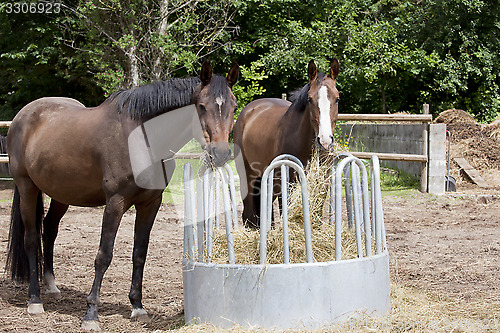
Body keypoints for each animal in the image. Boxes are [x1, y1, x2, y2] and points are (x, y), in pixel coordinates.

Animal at [4, 61, 238, 328]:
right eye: (201, 106)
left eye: (234, 106)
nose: (220, 153)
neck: (142, 138)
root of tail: (22, 116)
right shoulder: (115, 202)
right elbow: (104, 255)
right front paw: (91, 313)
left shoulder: (150, 203)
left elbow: (139, 253)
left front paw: (137, 306)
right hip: (27, 187)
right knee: (31, 239)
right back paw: (35, 300)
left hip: (61, 194)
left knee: (49, 229)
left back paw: (51, 286)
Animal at [234, 58, 340, 227]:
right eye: (310, 99)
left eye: (337, 98)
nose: (324, 141)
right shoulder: (286, 183)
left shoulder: (321, 182)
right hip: (248, 174)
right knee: (249, 212)